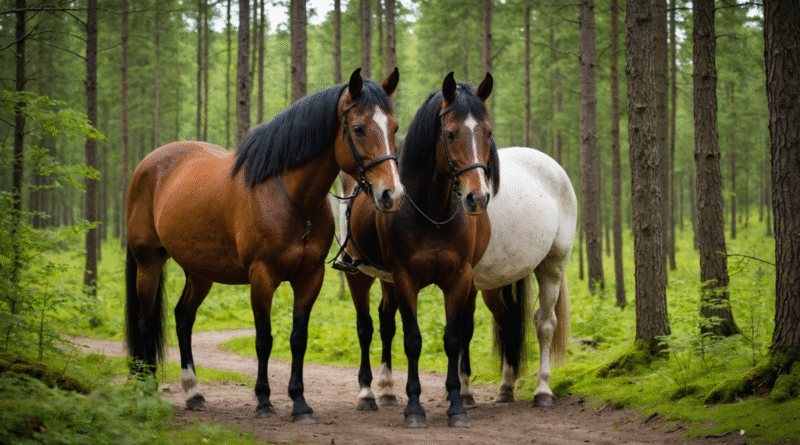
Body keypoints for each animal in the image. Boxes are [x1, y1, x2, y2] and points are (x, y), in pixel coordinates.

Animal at [124, 68, 403, 425]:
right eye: (358, 128)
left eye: (394, 127)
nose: (391, 194)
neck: (292, 199)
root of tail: (148, 164)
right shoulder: (261, 276)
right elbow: (263, 339)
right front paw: (264, 400)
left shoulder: (309, 277)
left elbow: (298, 339)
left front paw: (299, 403)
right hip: (148, 262)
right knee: (146, 321)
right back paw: (147, 389)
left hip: (199, 272)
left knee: (183, 319)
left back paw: (194, 392)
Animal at [334, 72, 498, 428]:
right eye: (449, 134)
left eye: (487, 132)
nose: (477, 198)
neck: (433, 213)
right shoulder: (405, 278)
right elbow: (412, 340)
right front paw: (414, 407)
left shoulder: (458, 279)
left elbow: (453, 338)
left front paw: (456, 405)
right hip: (360, 275)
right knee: (366, 328)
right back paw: (368, 393)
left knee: (387, 321)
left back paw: (387, 390)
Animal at [468, 146, 577, 408]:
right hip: (499, 279)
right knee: (509, 319)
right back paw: (506, 387)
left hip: (552, 266)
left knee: (545, 323)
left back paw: (543, 391)